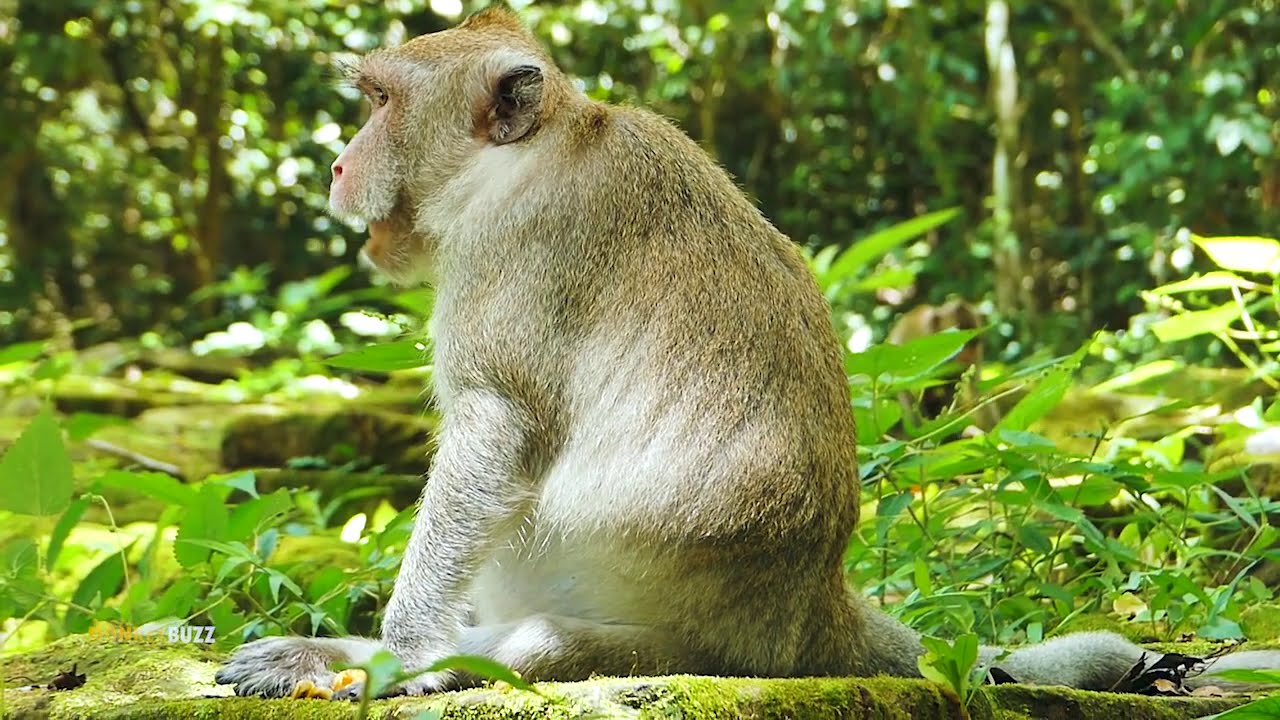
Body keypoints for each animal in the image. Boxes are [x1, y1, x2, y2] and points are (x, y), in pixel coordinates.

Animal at [214, 7, 1280, 700]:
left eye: (380, 101)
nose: (340, 162)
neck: (538, 148)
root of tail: (813, 612)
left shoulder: (508, 258)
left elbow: (493, 429)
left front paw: (395, 656)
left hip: (698, 644)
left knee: (557, 639)